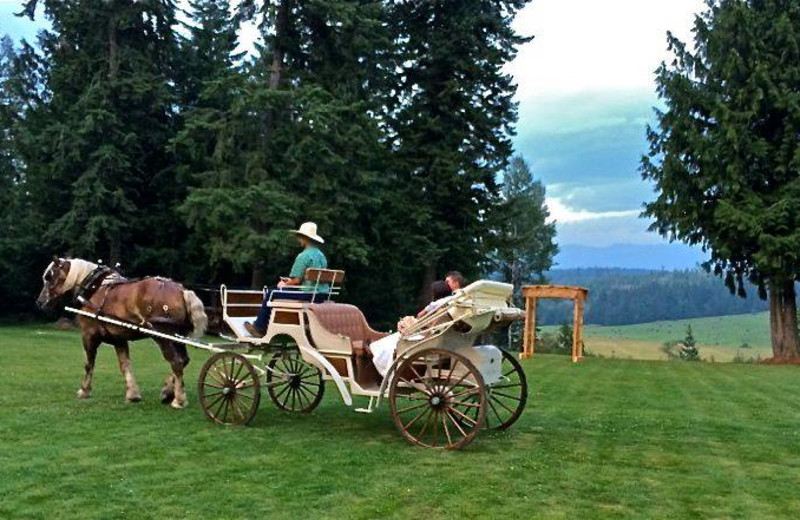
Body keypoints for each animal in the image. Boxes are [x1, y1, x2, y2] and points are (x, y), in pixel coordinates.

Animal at [37, 258, 206, 408]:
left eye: (49, 277)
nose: (39, 302)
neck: (93, 289)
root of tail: (181, 290)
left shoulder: (89, 335)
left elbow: (89, 364)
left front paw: (84, 391)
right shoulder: (118, 339)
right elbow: (125, 365)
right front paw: (132, 394)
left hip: (162, 336)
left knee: (176, 362)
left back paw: (178, 400)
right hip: (177, 337)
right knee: (183, 360)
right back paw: (167, 392)